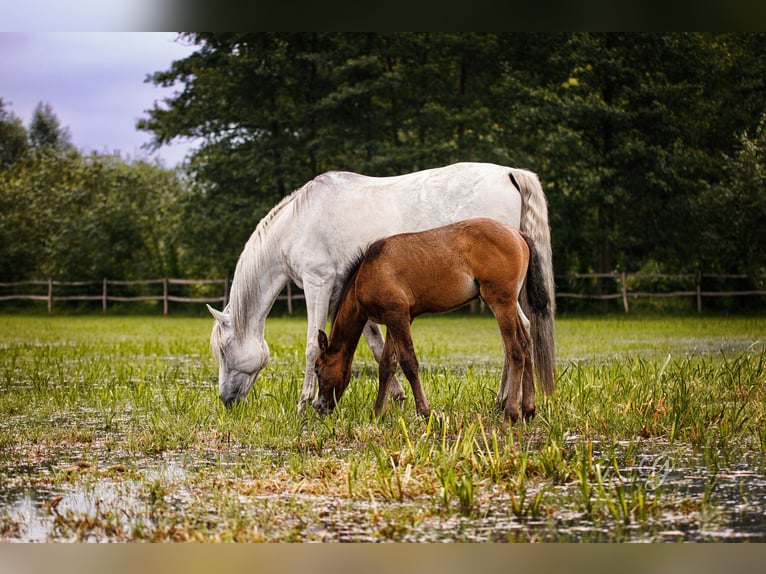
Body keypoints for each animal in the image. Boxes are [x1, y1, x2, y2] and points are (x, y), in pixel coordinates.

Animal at [312, 218, 552, 426]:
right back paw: (528, 409)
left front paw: (425, 412)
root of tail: (517, 233)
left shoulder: (397, 316)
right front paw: (378, 412)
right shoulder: (395, 318)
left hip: (500, 301)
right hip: (510, 303)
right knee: (525, 344)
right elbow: (387, 364)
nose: (319, 406)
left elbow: (409, 362)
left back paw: (510, 414)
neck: (368, 270)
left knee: (515, 351)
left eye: (317, 368)